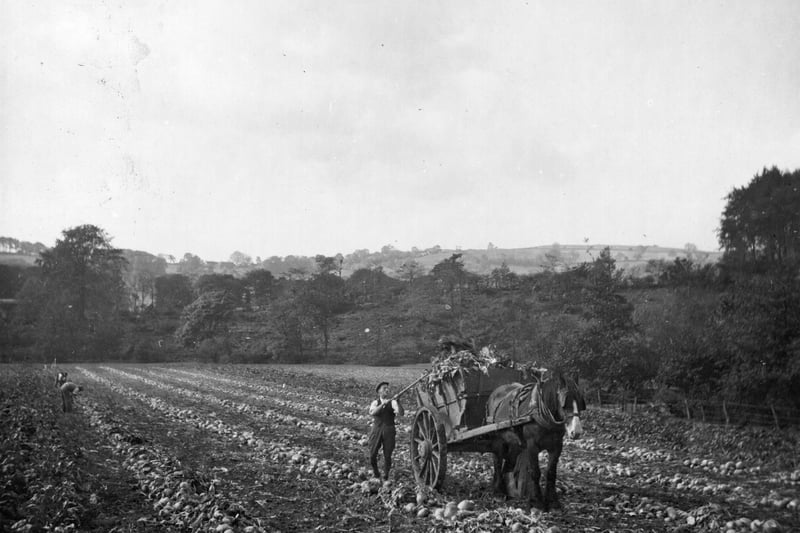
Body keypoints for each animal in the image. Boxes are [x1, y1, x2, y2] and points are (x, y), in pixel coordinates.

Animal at [484, 372, 584, 510]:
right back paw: (498, 491)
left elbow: (551, 473)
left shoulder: (557, 446)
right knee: (497, 461)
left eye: (580, 402)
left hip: (514, 443)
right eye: (564, 403)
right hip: (498, 440)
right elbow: (535, 472)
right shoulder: (532, 446)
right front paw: (536, 501)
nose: (577, 432)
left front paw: (552, 501)